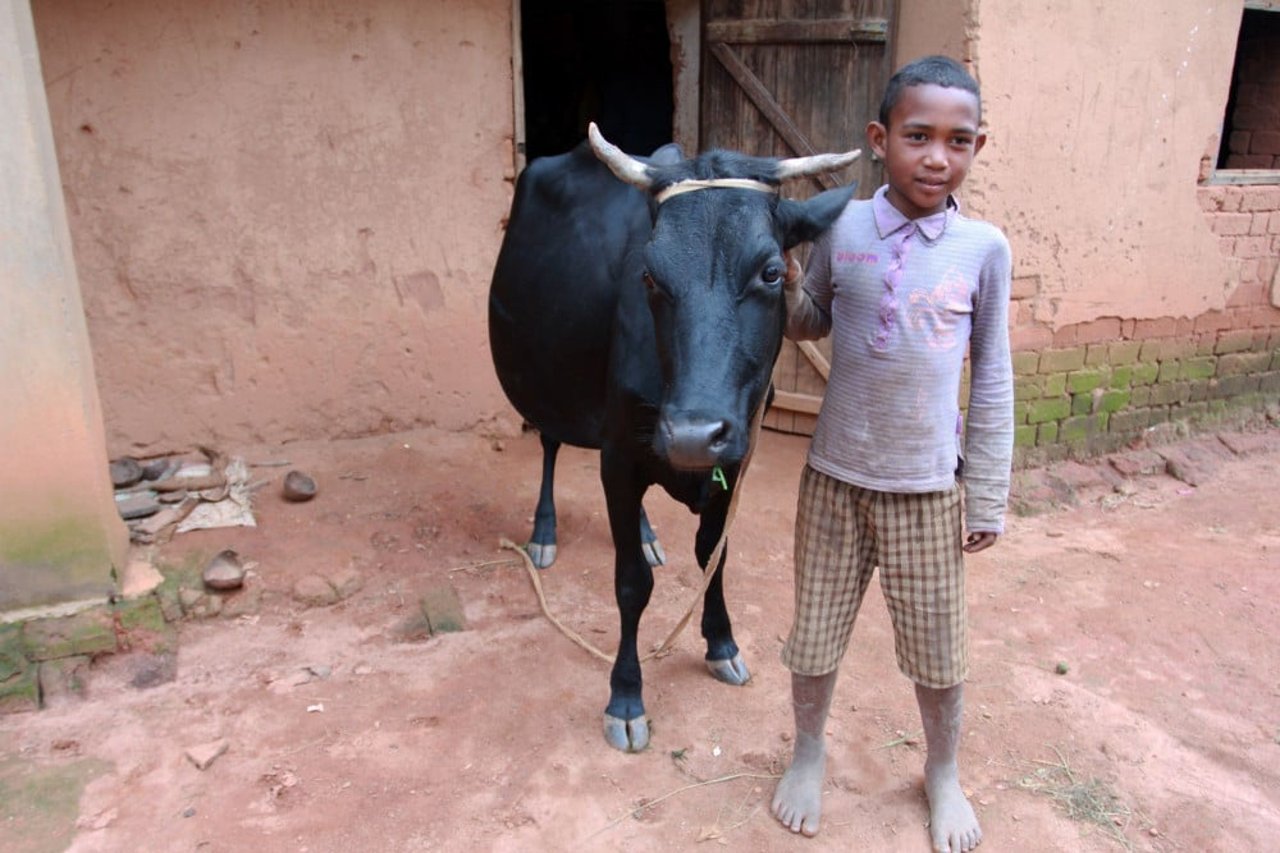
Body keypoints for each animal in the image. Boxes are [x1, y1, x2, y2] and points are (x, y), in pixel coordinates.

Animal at [488, 122, 860, 747]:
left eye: (772, 272)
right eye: (648, 276)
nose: (689, 434)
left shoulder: (734, 454)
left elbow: (715, 555)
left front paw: (721, 643)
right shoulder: (618, 454)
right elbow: (630, 584)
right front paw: (626, 696)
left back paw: (644, 532)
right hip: (553, 385)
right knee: (549, 442)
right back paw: (544, 531)